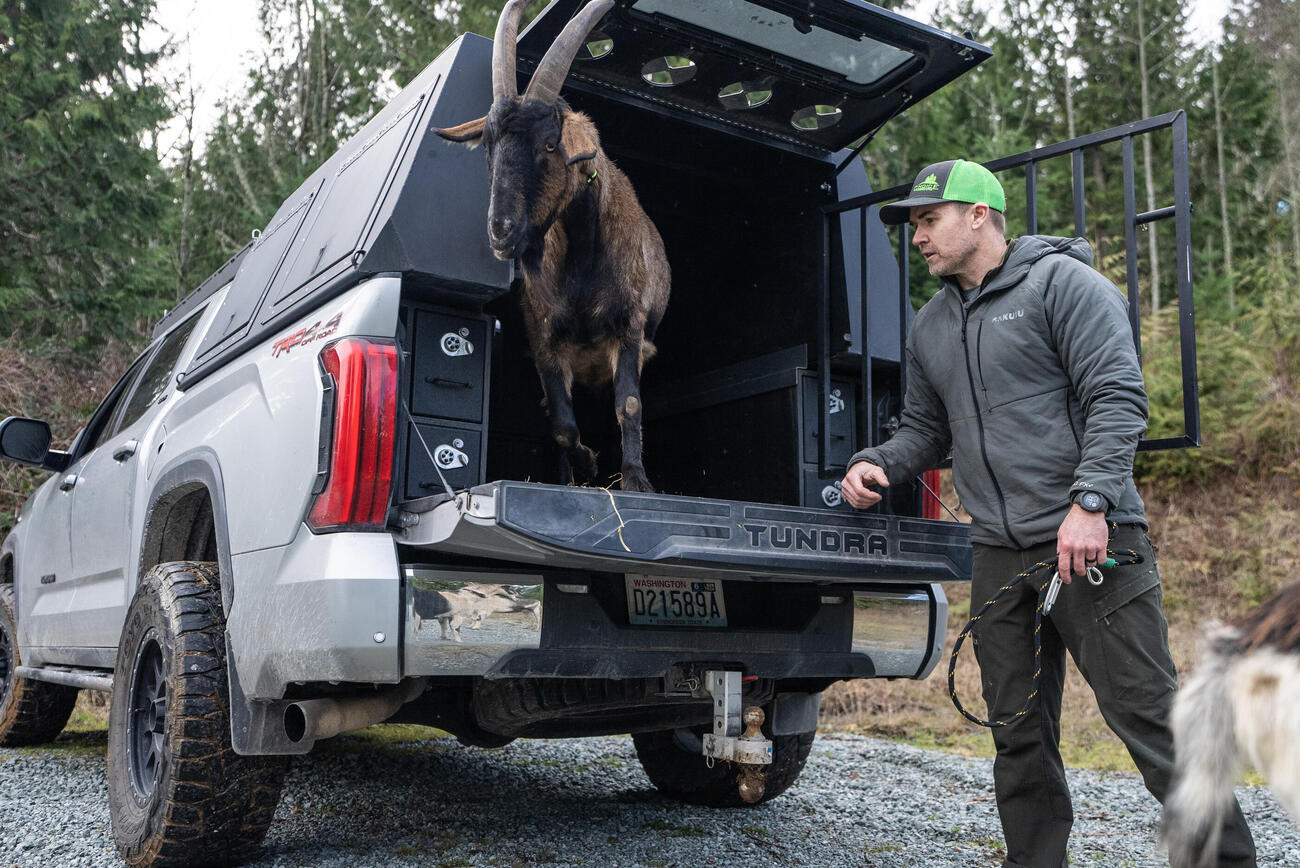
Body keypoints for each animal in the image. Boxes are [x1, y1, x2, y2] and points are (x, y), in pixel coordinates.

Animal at [441, 0, 676, 491]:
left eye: (550, 144)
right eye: (488, 145)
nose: (501, 231)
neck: (582, 271)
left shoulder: (628, 326)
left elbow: (628, 404)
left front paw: (636, 480)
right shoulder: (545, 338)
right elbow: (562, 425)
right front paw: (585, 468)